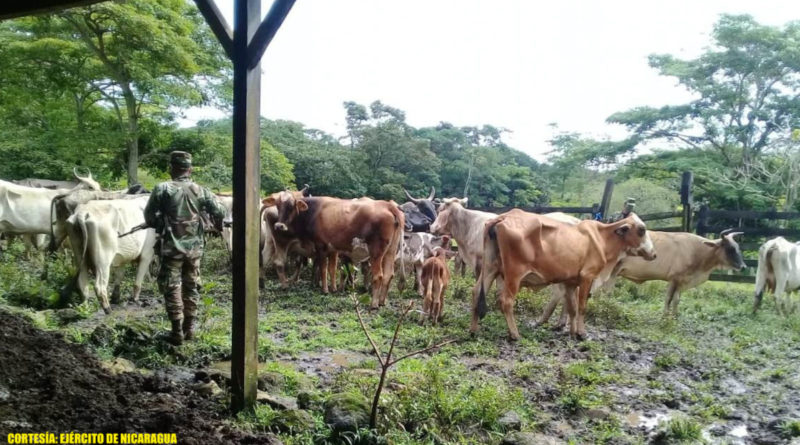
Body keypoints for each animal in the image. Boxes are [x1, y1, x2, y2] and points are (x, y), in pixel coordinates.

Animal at [262, 191, 404, 308]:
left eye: (292, 206)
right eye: (278, 205)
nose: (279, 226)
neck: (313, 211)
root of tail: (388, 205)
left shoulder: (320, 246)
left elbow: (323, 269)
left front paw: (325, 290)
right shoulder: (333, 249)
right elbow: (332, 269)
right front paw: (334, 289)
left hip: (376, 252)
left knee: (378, 275)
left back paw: (374, 304)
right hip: (390, 251)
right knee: (388, 274)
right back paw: (382, 302)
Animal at [472, 212, 652, 340]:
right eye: (642, 230)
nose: (653, 253)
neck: (603, 239)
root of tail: (503, 217)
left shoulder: (570, 282)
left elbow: (572, 308)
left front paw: (572, 333)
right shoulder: (587, 277)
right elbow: (582, 307)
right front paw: (581, 333)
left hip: (490, 268)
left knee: (476, 292)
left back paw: (474, 330)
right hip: (514, 274)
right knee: (506, 301)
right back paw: (515, 334)